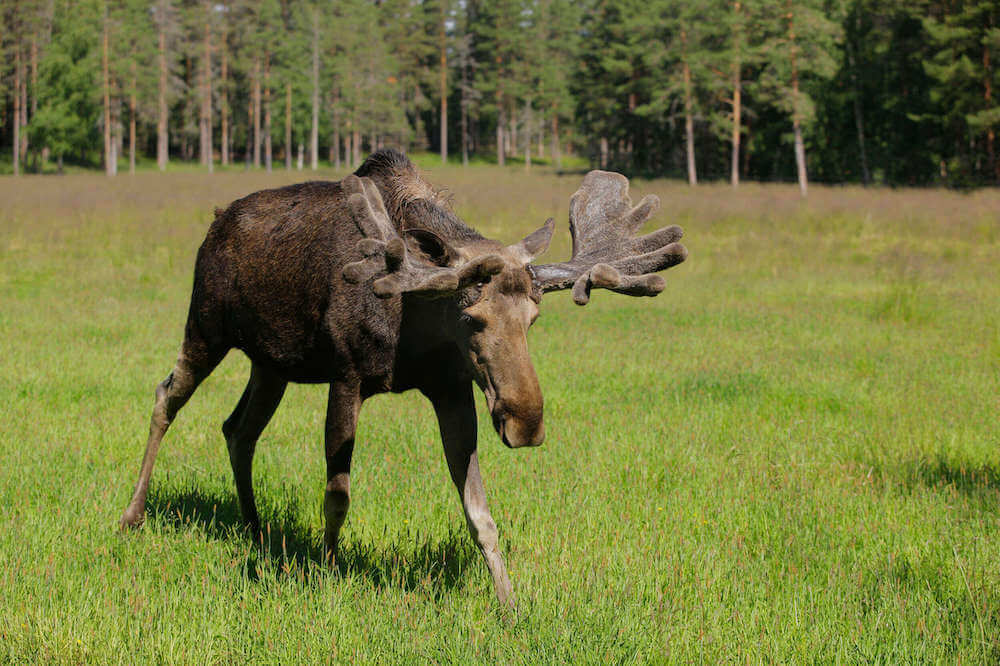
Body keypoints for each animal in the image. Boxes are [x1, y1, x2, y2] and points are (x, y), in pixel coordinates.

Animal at [119, 150, 688, 608]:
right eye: (471, 318)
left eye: (534, 318)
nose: (526, 423)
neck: (415, 322)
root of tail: (214, 224)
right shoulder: (347, 375)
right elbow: (338, 494)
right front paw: (326, 575)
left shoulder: (452, 390)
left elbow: (480, 512)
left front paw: (509, 601)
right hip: (206, 325)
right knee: (167, 396)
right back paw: (133, 515)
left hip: (271, 363)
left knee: (238, 429)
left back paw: (256, 529)